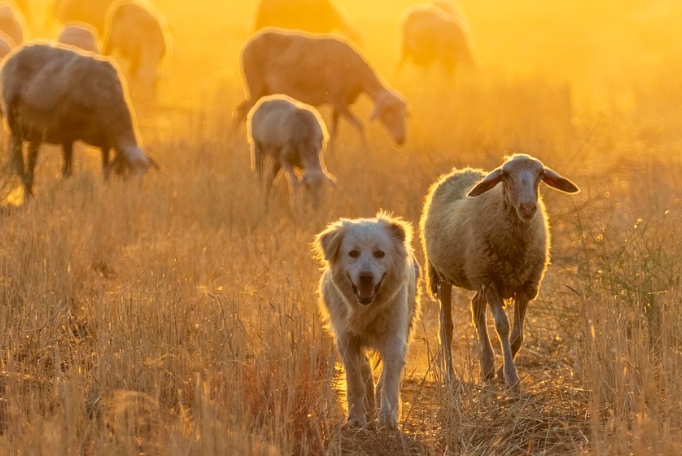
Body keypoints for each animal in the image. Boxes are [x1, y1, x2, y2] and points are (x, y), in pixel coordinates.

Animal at [0, 43, 157, 197]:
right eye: (129, 172)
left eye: (145, 172)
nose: (136, 196)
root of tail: (12, 56)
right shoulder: (67, 133)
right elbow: (67, 171)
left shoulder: (104, 141)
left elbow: (105, 169)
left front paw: (105, 188)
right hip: (15, 126)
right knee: (17, 161)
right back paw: (29, 193)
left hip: (35, 131)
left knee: (31, 161)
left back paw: (28, 192)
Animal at [234, 28, 406, 149]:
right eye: (389, 112)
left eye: (404, 114)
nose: (401, 140)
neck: (358, 75)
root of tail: (245, 47)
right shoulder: (338, 100)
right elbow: (359, 125)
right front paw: (366, 153)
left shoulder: (339, 104)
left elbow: (334, 131)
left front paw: (332, 156)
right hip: (254, 85)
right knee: (242, 113)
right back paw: (234, 144)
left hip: (262, 90)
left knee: (239, 109)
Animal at [314, 212, 420, 430]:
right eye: (353, 253)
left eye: (380, 253)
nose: (366, 277)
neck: (366, 308)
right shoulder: (346, 338)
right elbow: (355, 378)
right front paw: (356, 417)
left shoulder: (394, 338)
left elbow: (389, 379)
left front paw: (388, 418)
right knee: (364, 368)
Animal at [418, 155, 576, 390]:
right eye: (506, 175)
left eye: (540, 174)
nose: (528, 208)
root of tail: (459, 171)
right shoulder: (490, 282)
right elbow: (503, 325)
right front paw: (511, 377)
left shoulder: (526, 285)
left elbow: (518, 334)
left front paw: (501, 373)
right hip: (444, 275)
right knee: (446, 326)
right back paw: (451, 376)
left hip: (478, 276)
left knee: (475, 306)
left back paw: (487, 366)